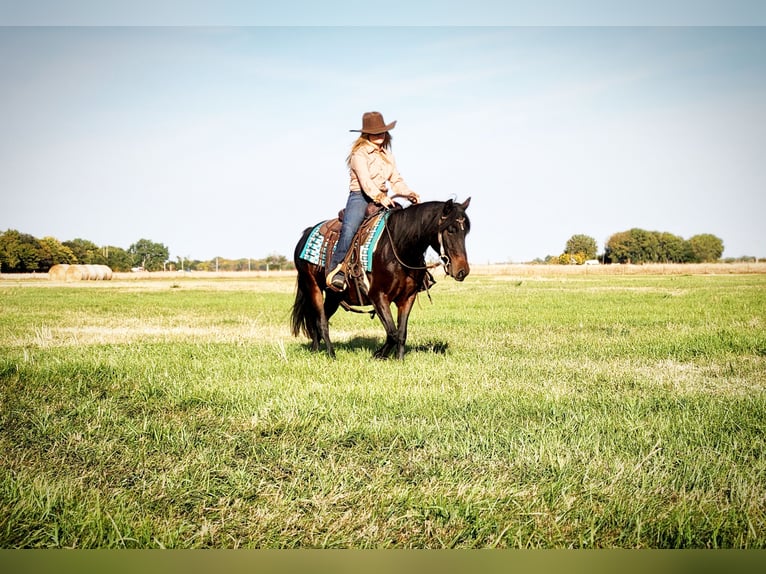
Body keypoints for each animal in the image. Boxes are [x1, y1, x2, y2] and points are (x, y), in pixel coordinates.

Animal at [292, 198, 472, 360]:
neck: (398, 249)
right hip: (313, 286)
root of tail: (306, 234)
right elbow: (392, 333)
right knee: (321, 322)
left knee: (317, 321)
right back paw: (331, 354)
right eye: (451, 229)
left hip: (333, 296)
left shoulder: (407, 298)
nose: (462, 270)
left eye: (466, 232)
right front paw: (378, 355)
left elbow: (401, 332)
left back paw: (315, 350)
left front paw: (399, 360)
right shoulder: (378, 296)